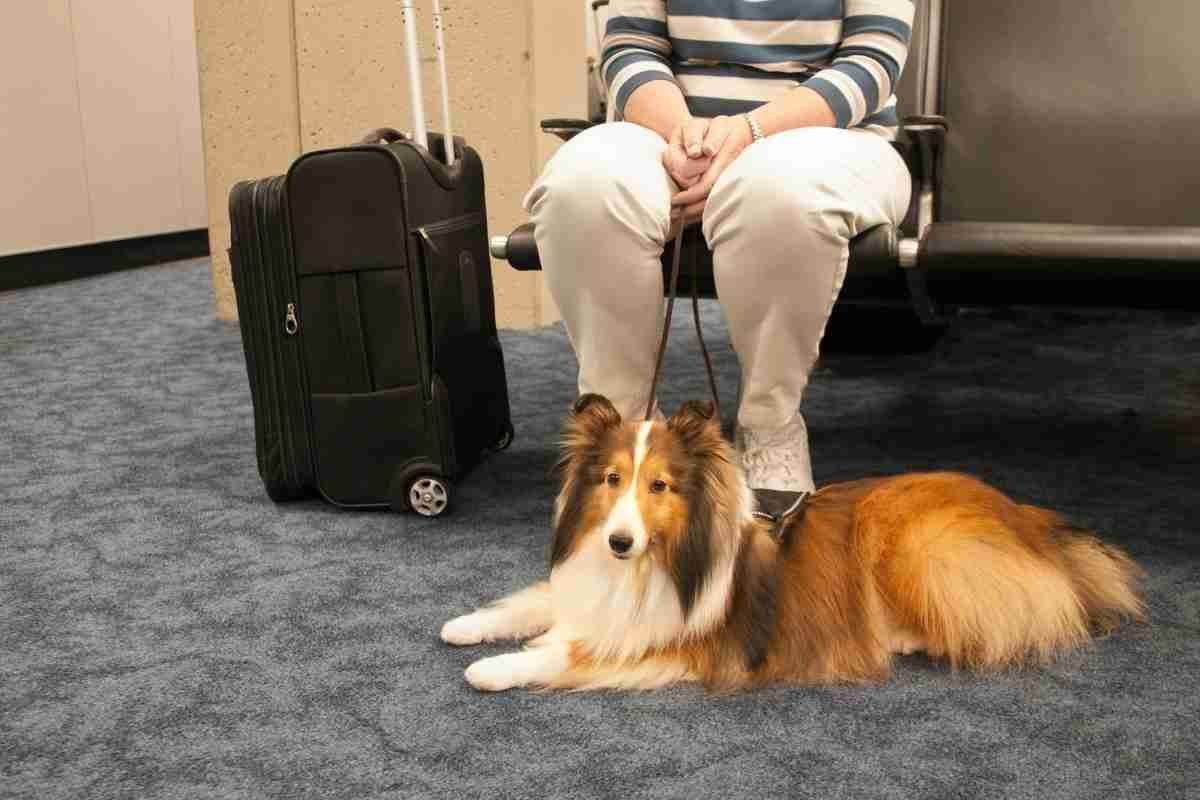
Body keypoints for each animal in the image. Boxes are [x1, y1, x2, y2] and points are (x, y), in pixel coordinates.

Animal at [444, 391, 1142, 690]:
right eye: (613, 479)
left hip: (916, 543)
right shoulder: (586, 588)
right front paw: (466, 625)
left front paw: (494, 667)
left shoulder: (677, 641)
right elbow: (535, 602)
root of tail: (1028, 519)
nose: (619, 541)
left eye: (661, 486)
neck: (651, 564)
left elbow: (567, 654)